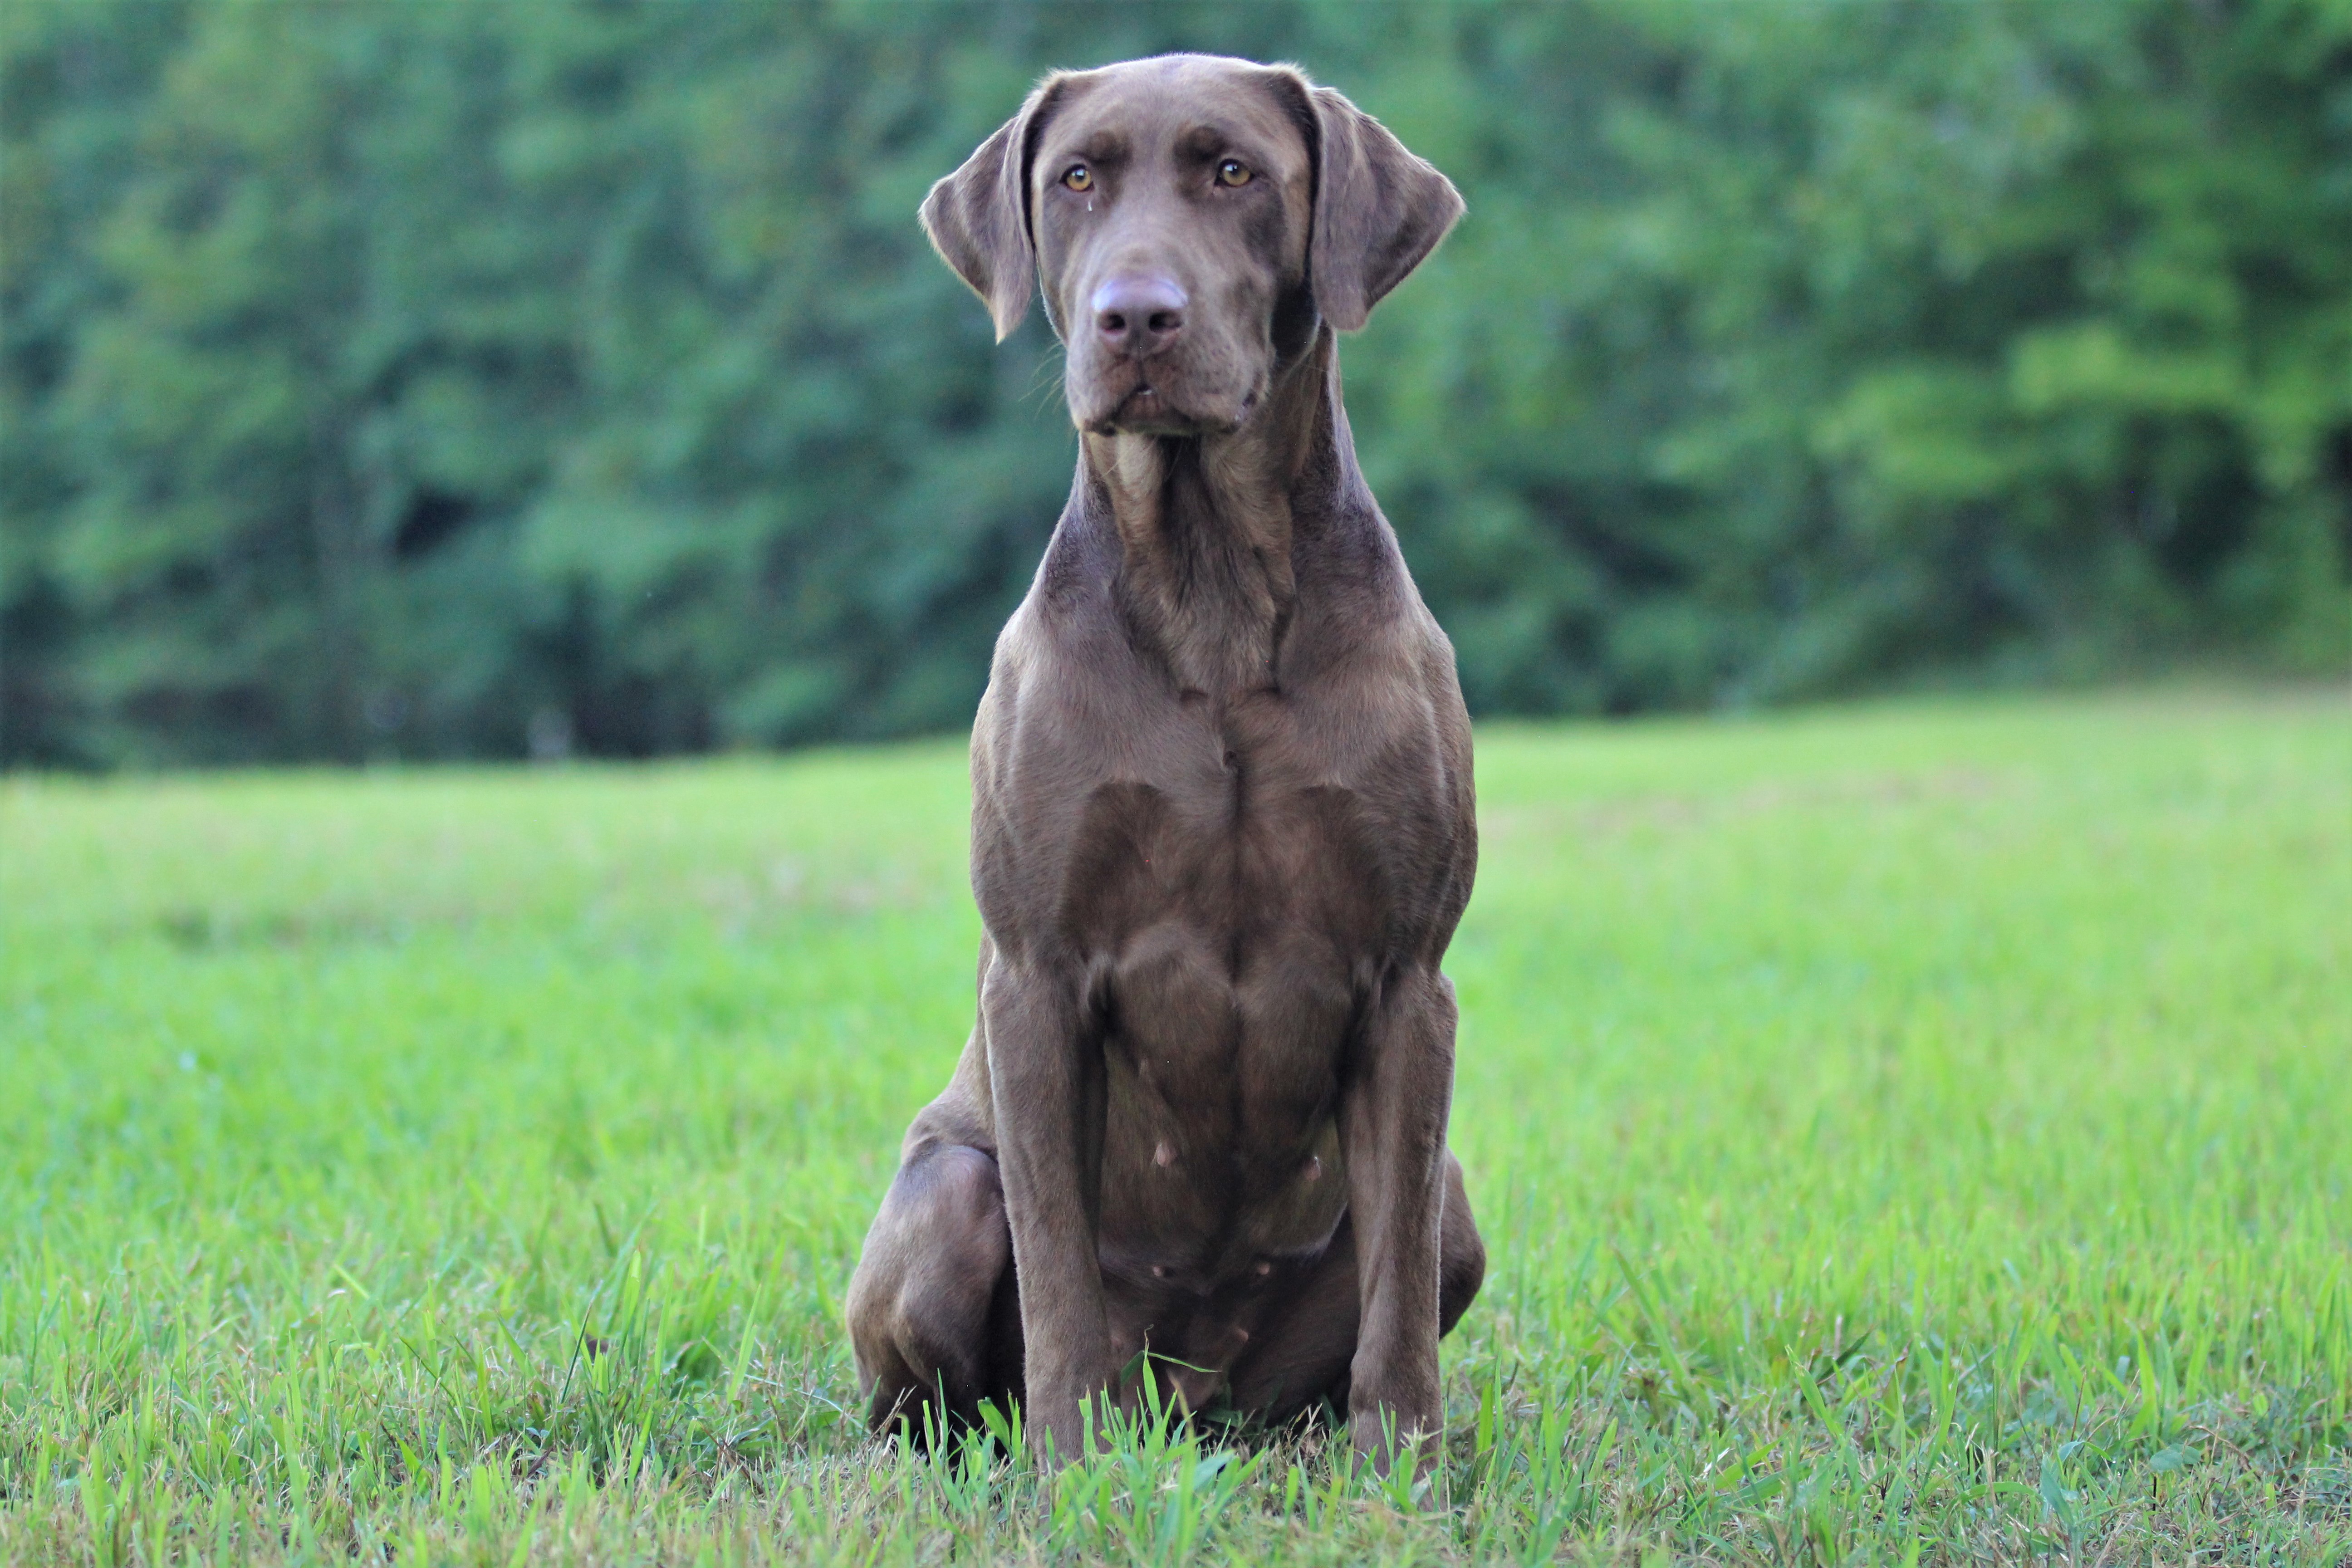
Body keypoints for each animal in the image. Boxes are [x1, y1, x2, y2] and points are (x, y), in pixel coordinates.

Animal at [837, 49, 1477, 1476]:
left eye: (1233, 171)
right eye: (1076, 179)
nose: (1135, 319)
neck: (1213, 588)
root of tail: (1196, 1396)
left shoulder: (1409, 979)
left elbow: (1399, 1284)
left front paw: (1401, 1467)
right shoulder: (1035, 975)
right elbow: (1059, 1265)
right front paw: (1072, 1469)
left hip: (1450, 1211)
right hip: (943, 1190)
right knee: (931, 1381)